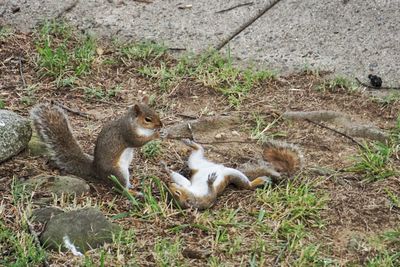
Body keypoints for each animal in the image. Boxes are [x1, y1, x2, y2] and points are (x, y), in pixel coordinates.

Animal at [30, 97, 162, 189]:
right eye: (147, 119)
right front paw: (156, 135)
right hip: (117, 172)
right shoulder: (127, 133)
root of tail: (95, 169)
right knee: (121, 188)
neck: (133, 122)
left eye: (155, 112)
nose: (161, 125)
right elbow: (137, 141)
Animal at [161, 139, 302, 210]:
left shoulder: (188, 186)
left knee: (199, 151)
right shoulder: (207, 199)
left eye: (177, 193)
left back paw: (191, 143)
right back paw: (259, 181)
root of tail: (220, 167)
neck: (193, 194)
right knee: (247, 185)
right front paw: (210, 182)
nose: (169, 184)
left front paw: (167, 169)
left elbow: (183, 180)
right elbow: (211, 192)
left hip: (197, 163)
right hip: (236, 176)